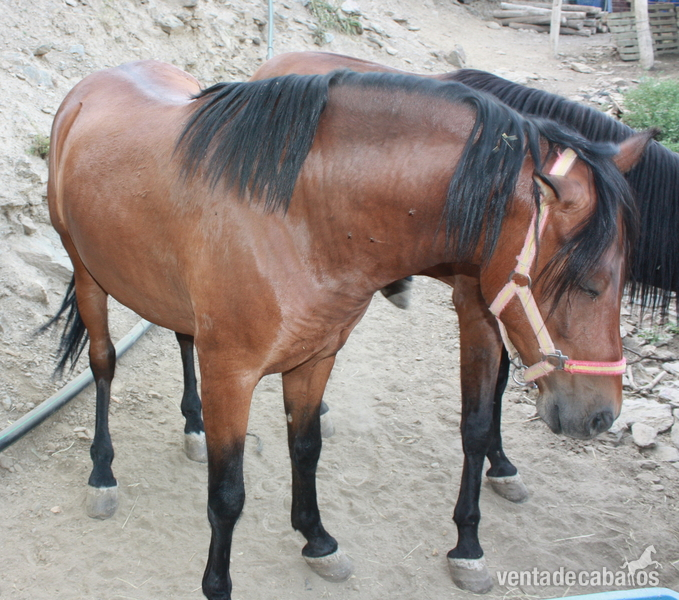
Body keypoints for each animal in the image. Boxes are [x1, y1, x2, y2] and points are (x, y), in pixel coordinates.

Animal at [47, 60, 649, 599]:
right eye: (590, 284)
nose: (601, 415)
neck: (297, 214)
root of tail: (89, 87)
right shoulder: (231, 375)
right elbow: (227, 494)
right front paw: (217, 584)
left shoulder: (315, 357)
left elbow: (306, 448)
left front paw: (316, 539)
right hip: (87, 273)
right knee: (103, 364)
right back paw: (102, 474)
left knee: (181, 336)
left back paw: (192, 427)